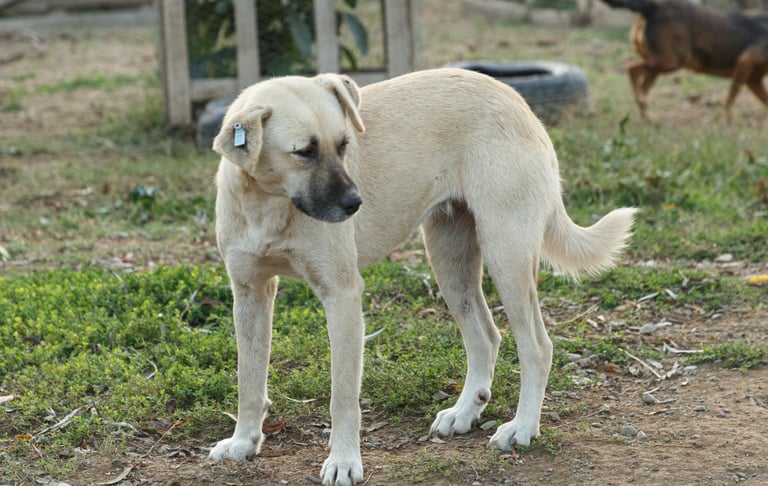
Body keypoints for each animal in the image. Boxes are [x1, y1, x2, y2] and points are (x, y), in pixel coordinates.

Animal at [207, 68, 637, 485]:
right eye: (304, 152)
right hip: (449, 264)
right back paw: (464, 412)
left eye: (344, 144)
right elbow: (249, 380)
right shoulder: (249, 293)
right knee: (486, 337)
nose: (355, 204)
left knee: (537, 347)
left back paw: (522, 427)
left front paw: (343, 461)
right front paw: (243, 442)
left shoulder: (342, 296)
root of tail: (517, 100)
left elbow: (342, 395)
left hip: (506, 255)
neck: (268, 202)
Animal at [602, 0, 768, 121]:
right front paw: (727, 121)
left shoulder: (753, 79)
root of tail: (655, 6)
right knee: (632, 69)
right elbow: (731, 97)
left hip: (660, 64)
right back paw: (645, 111)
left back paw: (648, 117)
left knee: (642, 85)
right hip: (670, 62)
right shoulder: (744, 64)